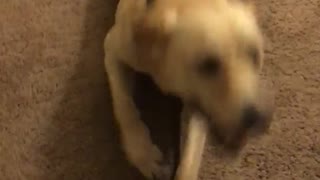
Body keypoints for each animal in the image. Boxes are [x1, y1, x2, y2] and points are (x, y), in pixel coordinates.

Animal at [104, 0, 272, 179]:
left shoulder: (197, 103)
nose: (258, 119)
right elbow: (125, 108)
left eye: (254, 55)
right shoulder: (113, 49)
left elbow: (190, 158)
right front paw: (144, 154)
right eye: (208, 65)